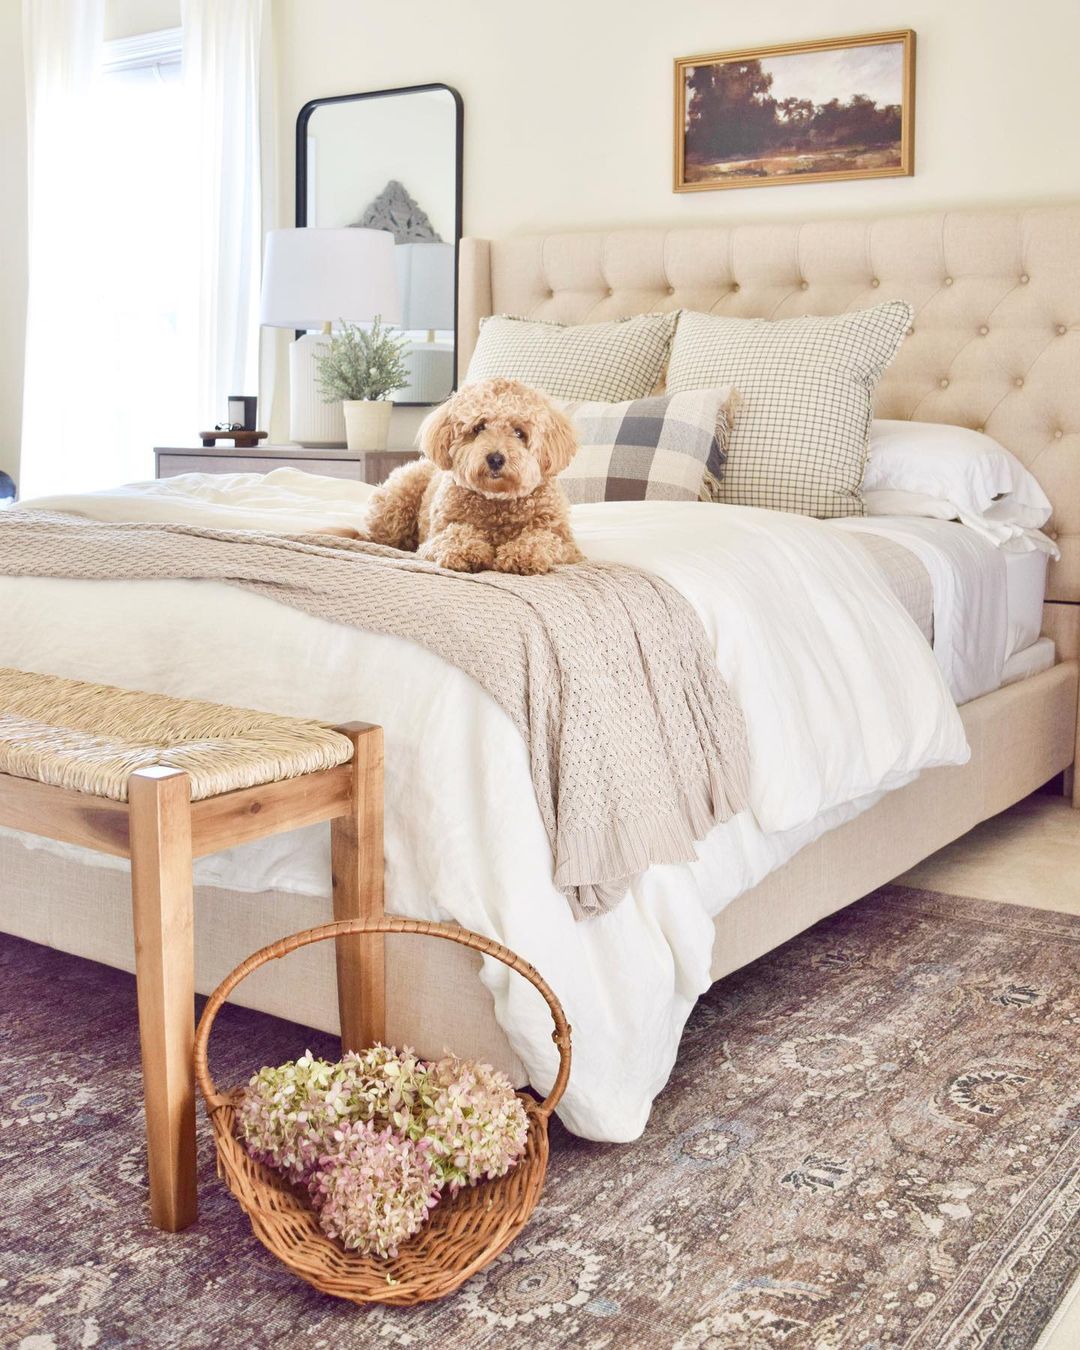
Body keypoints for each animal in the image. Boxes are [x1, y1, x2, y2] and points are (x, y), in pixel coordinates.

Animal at [361, 375, 583, 575]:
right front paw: (466, 551)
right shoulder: (434, 539)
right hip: (397, 501)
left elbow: (541, 538)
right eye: (479, 427)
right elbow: (456, 533)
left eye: (519, 432)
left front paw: (521, 554)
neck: (497, 501)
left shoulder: (569, 547)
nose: (495, 459)